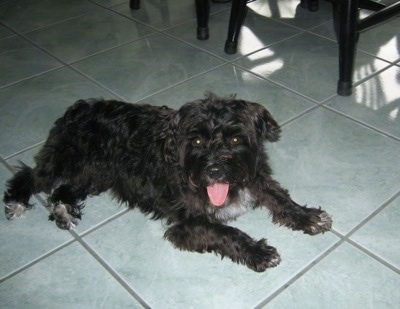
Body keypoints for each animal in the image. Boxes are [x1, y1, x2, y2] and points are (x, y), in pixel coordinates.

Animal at [3, 92, 332, 270]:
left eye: (236, 138)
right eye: (197, 140)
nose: (214, 171)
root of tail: (78, 107)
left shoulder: (255, 178)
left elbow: (280, 198)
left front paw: (308, 216)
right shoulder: (187, 225)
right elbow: (226, 232)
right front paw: (258, 252)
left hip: (96, 174)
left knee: (64, 190)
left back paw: (62, 212)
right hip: (64, 159)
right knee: (30, 175)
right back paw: (17, 202)